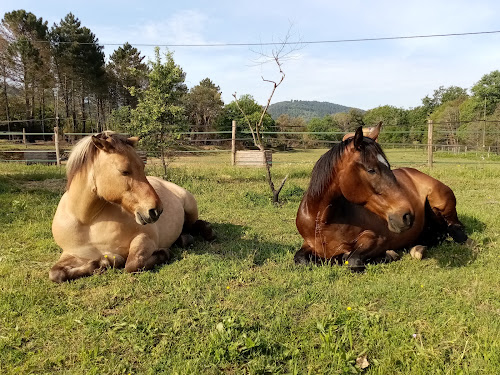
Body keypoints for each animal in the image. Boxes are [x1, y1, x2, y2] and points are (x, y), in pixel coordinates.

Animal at [49, 132, 214, 282]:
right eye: (124, 171)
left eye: (142, 166)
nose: (156, 210)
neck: (87, 220)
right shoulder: (72, 253)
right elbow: (56, 273)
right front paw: (103, 262)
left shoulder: (145, 238)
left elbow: (133, 264)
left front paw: (163, 253)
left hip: (190, 208)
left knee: (194, 225)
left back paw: (205, 232)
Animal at [294, 126, 466, 270]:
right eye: (371, 170)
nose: (406, 216)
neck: (323, 221)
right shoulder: (308, 244)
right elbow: (299, 258)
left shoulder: (377, 239)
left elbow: (352, 260)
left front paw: (388, 255)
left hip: (441, 206)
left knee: (454, 229)